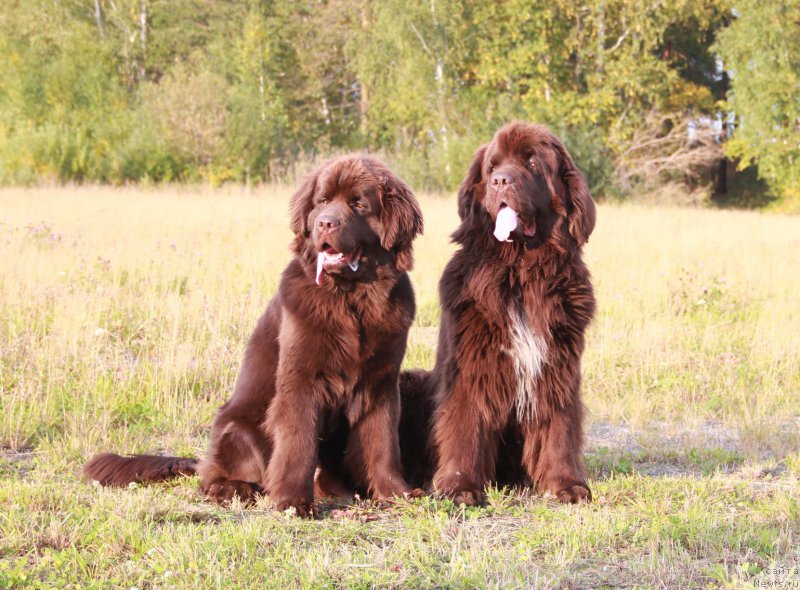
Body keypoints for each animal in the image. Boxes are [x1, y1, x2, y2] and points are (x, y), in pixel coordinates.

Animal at [83, 156, 424, 520]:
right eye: (322, 201)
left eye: (359, 203)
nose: (325, 223)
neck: (352, 300)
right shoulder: (301, 379)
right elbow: (298, 442)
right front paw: (292, 502)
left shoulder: (381, 383)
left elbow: (383, 443)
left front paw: (397, 494)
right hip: (238, 429)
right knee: (214, 478)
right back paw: (235, 490)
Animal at [398, 122, 592, 506]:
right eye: (492, 166)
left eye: (532, 162)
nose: (501, 181)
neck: (520, 272)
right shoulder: (471, 368)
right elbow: (464, 425)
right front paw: (459, 487)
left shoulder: (558, 367)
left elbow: (560, 426)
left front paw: (566, 484)